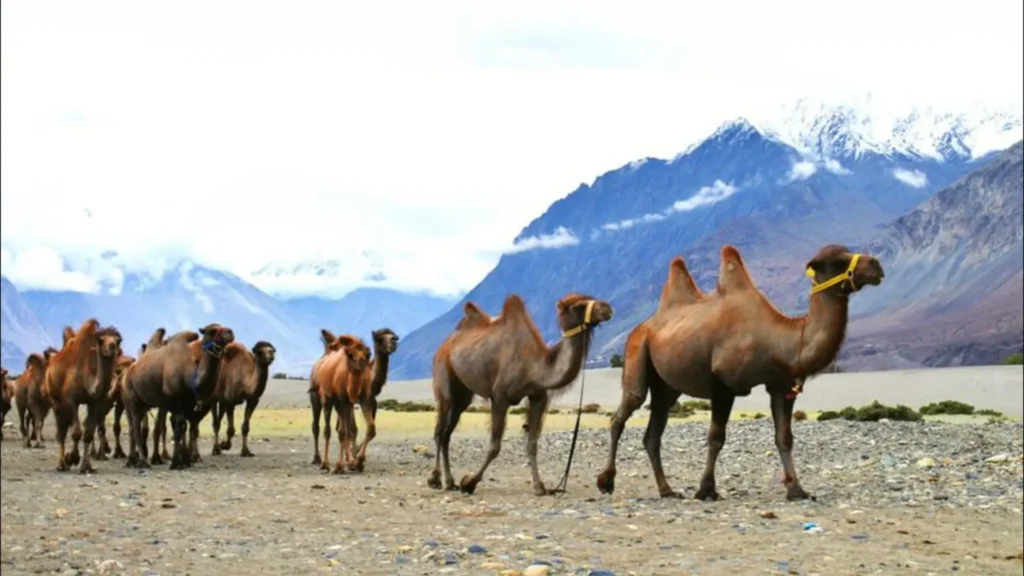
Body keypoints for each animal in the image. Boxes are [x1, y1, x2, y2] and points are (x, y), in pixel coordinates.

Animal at [43, 319, 123, 473]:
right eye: (100, 340)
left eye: (118, 340)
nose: (112, 347)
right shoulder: (70, 400)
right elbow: (76, 432)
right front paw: (72, 458)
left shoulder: (96, 403)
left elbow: (87, 434)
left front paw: (87, 466)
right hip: (54, 400)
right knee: (61, 432)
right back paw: (61, 464)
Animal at [122, 323, 235, 470]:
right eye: (212, 330)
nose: (230, 333)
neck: (188, 375)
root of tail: (127, 372)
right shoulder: (175, 400)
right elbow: (178, 429)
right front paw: (176, 463)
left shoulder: (188, 403)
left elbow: (184, 427)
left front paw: (185, 460)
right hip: (131, 401)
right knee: (135, 428)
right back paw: (142, 461)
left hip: (143, 404)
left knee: (135, 427)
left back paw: (132, 460)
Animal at [308, 331, 374, 473]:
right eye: (350, 355)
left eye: (368, 354)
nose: (361, 364)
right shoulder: (340, 400)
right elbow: (342, 431)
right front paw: (340, 464)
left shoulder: (362, 398)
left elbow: (369, 428)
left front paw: (357, 461)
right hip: (318, 398)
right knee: (318, 427)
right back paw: (319, 460)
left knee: (344, 429)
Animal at [428, 292, 614, 496]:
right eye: (578, 305)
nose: (607, 308)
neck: (535, 367)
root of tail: (445, 344)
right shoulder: (500, 397)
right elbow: (494, 446)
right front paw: (470, 482)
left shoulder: (538, 396)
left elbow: (532, 444)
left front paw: (540, 486)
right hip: (443, 378)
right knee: (439, 431)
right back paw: (435, 479)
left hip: (462, 397)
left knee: (447, 433)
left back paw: (449, 481)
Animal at [596, 244, 884, 501]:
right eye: (837, 260)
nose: (876, 265)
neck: (780, 339)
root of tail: (644, 325)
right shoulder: (722, 384)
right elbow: (716, 437)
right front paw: (706, 490)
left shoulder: (781, 386)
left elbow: (784, 438)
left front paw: (796, 490)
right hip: (636, 352)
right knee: (623, 412)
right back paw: (606, 481)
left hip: (667, 386)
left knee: (652, 434)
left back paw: (667, 490)